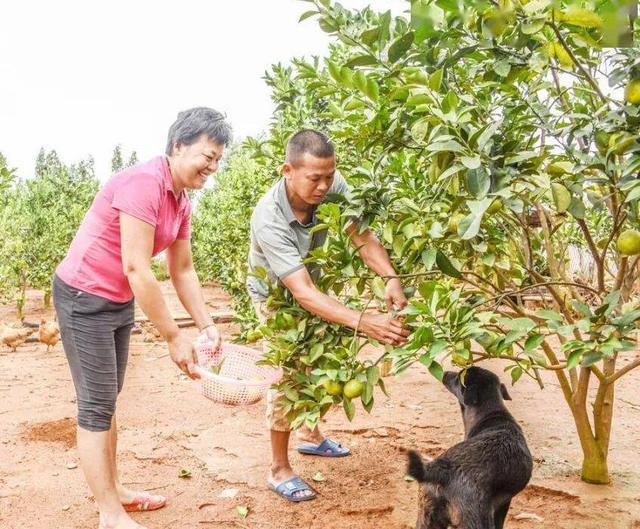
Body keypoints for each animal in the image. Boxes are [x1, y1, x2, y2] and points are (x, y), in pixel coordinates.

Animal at [408, 368, 532, 528]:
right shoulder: (504, 503)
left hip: (427, 517)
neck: (492, 414)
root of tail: (441, 472)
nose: (445, 372)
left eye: (458, 378)